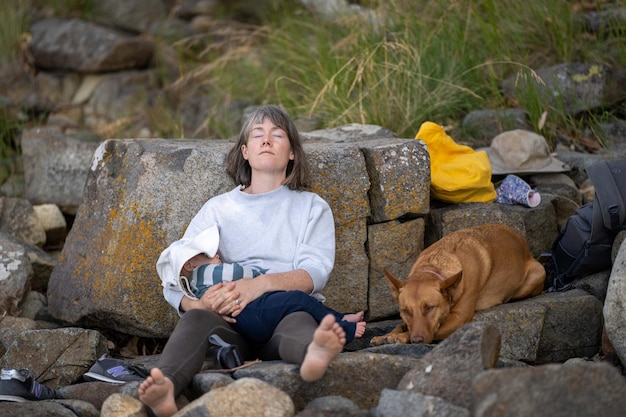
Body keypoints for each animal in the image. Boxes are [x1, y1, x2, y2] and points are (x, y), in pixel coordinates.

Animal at [368, 224, 544, 344]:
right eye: (406, 311)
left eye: (429, 307)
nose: (417, 340)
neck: (434, 265)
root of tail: (522, 242)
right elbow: (400, 325)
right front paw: (387, 335)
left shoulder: (459, 319)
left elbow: (434, 329)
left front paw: (399, 337)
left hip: (538, 273)